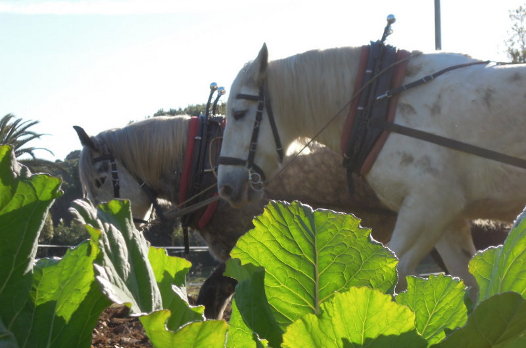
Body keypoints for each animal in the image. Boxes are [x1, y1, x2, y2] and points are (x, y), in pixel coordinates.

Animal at [216, 43, 526, 290]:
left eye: (239, 114)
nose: (226, 186)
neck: (384, 106)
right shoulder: (449, 220)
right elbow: (472, 286)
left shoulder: (429, 207)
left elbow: (393, 276)